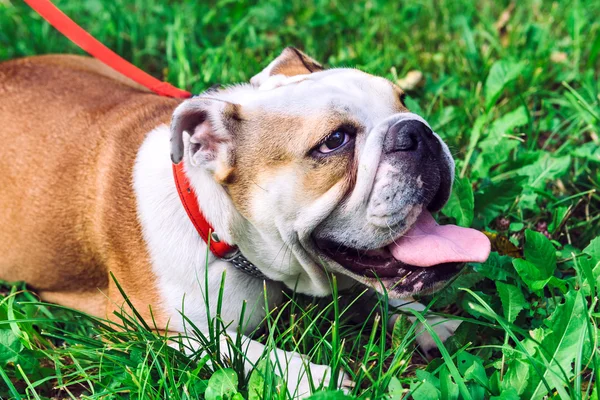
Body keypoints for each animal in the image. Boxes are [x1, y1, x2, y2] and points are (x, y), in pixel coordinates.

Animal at [0, 48, 490, 396]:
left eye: (402, 99)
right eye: (334, 141)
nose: (417, 130)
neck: (220, 230)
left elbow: (381, 296)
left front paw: (429, 323)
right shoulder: (152, 326)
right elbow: (234, 346)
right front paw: (309, 376)